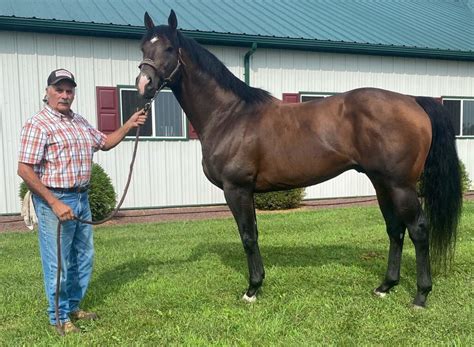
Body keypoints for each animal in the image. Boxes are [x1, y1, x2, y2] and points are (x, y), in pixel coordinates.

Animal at [135, 10, 462, 308]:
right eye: (142, 47)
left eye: (168, 48)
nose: (143, 84)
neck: (229, 115)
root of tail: (413, 101)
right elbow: (254, 234)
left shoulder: (236, 189)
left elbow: (248, 236)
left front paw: (252, 289)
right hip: (382, 183)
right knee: (395, 229)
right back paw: (385, 286)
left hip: (401, 186)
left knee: (418, 229)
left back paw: (421, 295)